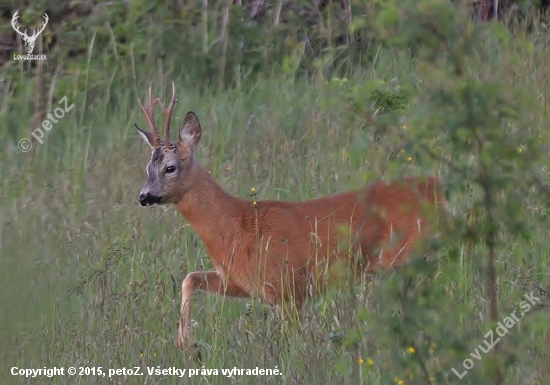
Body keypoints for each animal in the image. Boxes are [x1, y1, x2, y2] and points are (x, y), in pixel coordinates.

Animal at [136, 82, 446, 352]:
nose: (144, 196)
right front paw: (188, 346)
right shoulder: (242, 282)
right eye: (147, 168)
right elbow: (190, 278)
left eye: (170, 167)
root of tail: (440, 188)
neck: (238, 226)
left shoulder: (288, 287)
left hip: (410, 254)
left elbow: (293, 342)